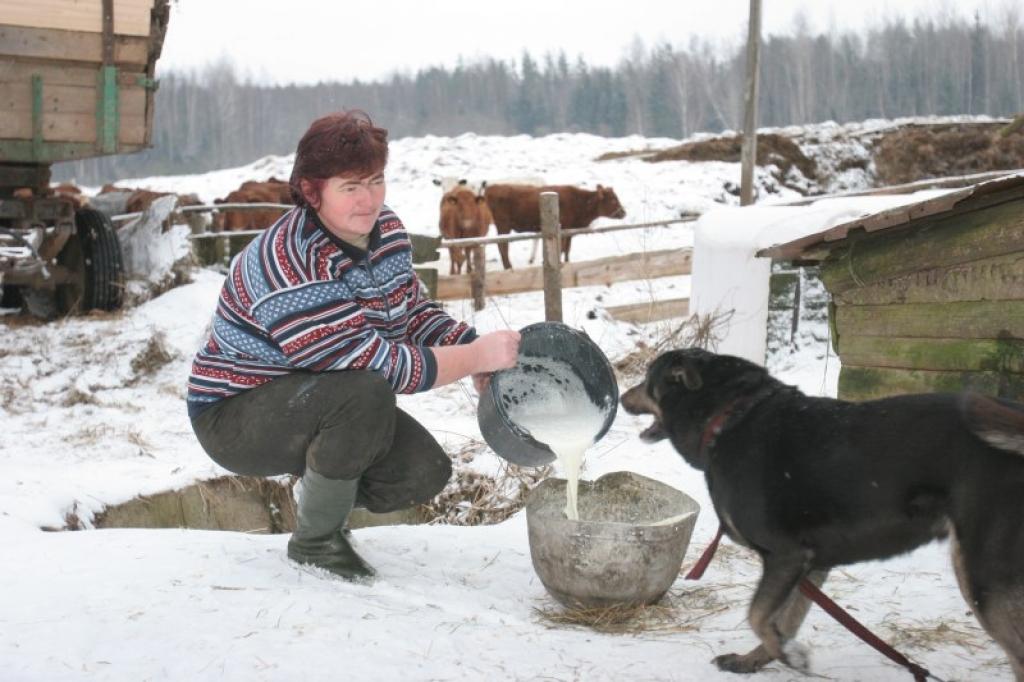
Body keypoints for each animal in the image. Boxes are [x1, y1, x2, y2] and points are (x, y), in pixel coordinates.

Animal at [485, 183, 626, 268]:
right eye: (613, 200)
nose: (624, 212)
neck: (579, 202)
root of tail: (492, 187)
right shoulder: (564, 230)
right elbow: (563, 248)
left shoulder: (569, 231)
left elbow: (567, 248)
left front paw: (567, 262)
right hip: (503, 226)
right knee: (503, 245)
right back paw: (508, 267)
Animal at [618, 348, 1019, 675]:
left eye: (648, 379)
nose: (622, 396)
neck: (727, 418)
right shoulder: (811, 564)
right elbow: (786, 618)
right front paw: (759, 659)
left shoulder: (786, 555)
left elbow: (757, 614)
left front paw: (788, 655)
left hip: (982, 576)